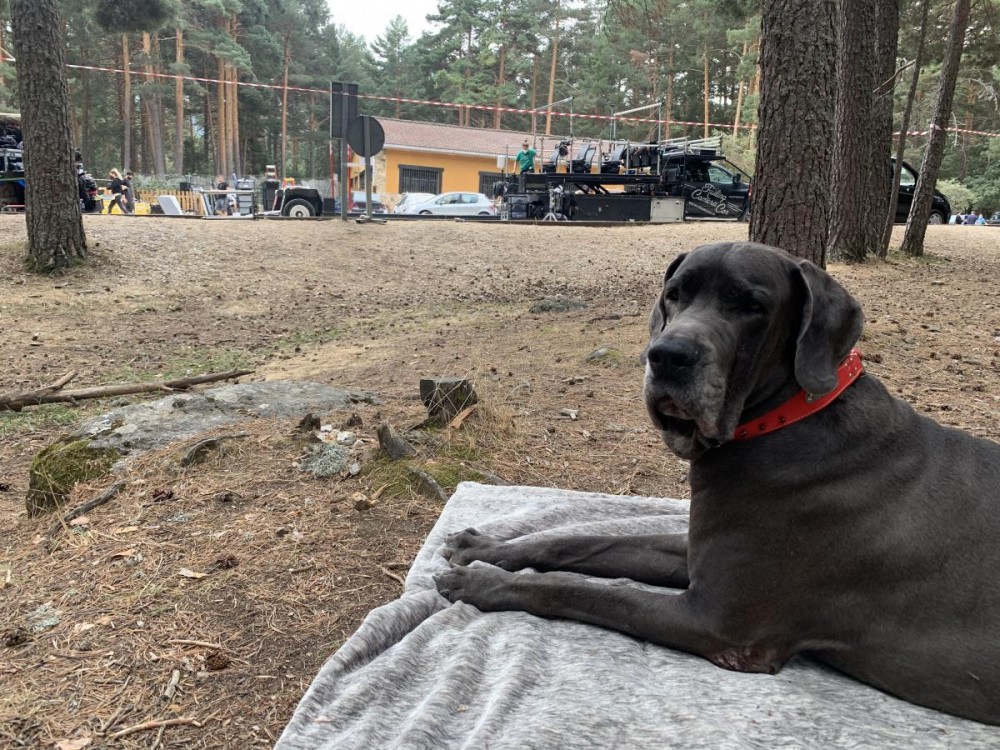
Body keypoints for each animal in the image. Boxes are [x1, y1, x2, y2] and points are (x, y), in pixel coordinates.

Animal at [435, 241, 1000, 725]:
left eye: (750, 305)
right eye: (674, 294)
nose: (667, 355)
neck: (784, 419)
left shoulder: (717, 621)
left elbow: (579, 589)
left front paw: (482, 581)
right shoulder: (694, 552)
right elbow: (577, 540)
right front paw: (483, 547)